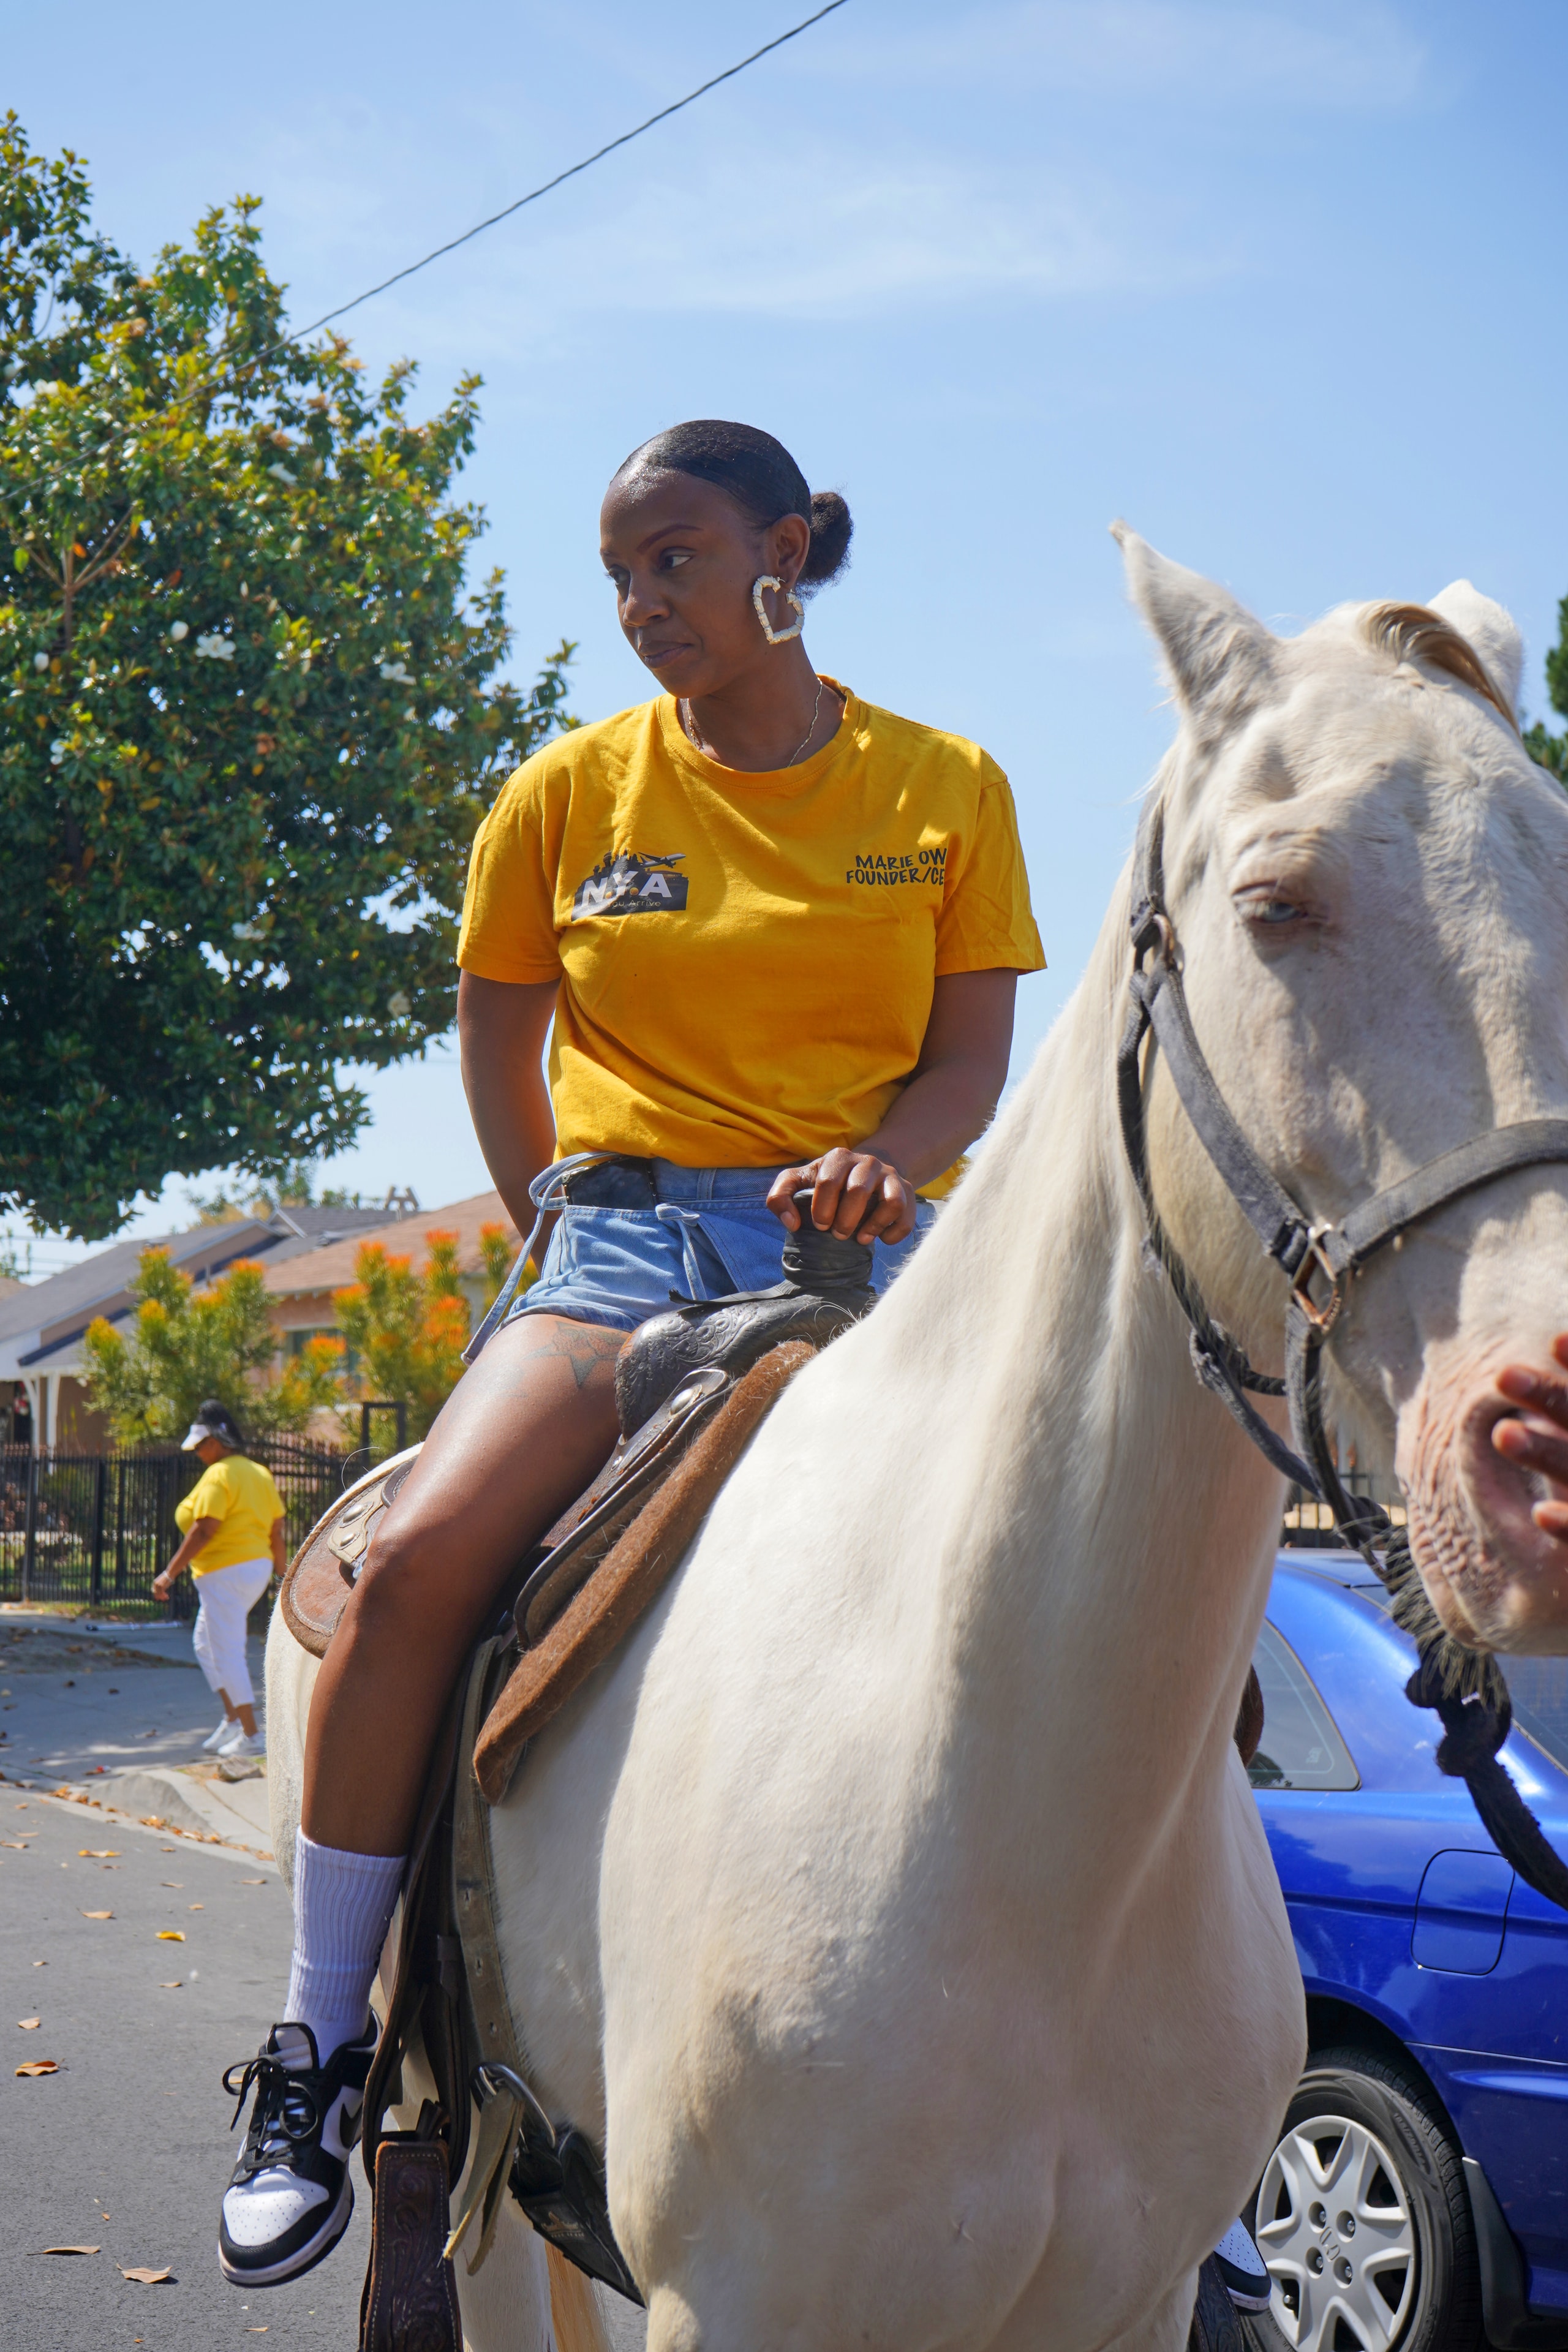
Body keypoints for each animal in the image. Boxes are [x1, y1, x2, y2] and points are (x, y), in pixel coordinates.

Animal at [268, 529, 1568, 2352]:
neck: (1017, 1802)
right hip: (479, 2190)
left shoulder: (1124, 2306)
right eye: (1274, 903)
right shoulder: (732, 2301)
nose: (1543, 1437)